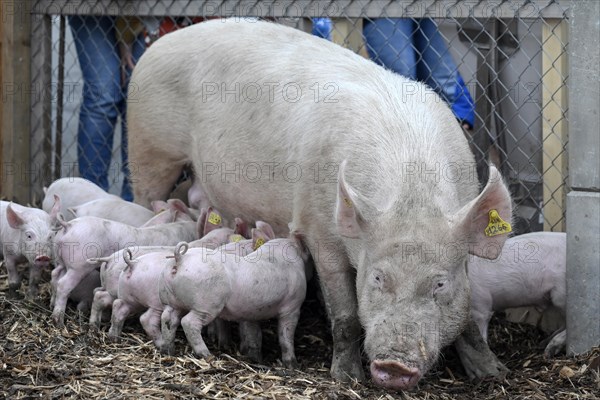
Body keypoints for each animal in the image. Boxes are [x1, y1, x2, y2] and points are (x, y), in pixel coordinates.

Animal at [126, 19, 510, 390]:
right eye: (377, 277)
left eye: (440, 284)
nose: (394, 365)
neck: (412, 193)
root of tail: (156, 47)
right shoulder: (318, 229)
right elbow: (346, 315)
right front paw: (346, 377)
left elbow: (468, 318)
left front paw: (491, 373)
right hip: (148, 150)